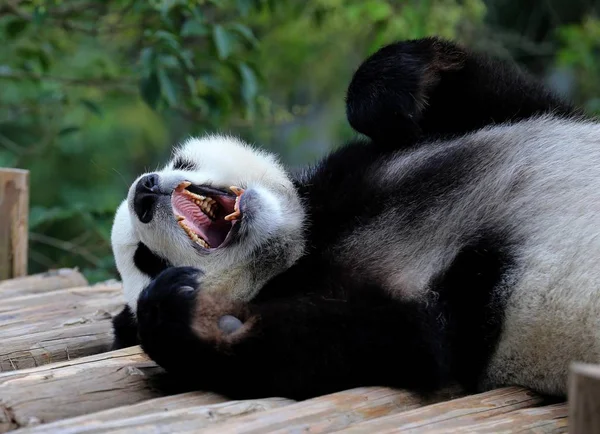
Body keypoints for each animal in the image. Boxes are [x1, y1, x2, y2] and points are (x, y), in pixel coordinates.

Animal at [111, 36, 600, 400]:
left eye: (183, 162)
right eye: (146, 260)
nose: (145, 191)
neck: (306, 240)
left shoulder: (367, 163)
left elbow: (500, 93)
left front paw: (388, 100)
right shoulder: (433, 323)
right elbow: (398, 344)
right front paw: (178, 312)